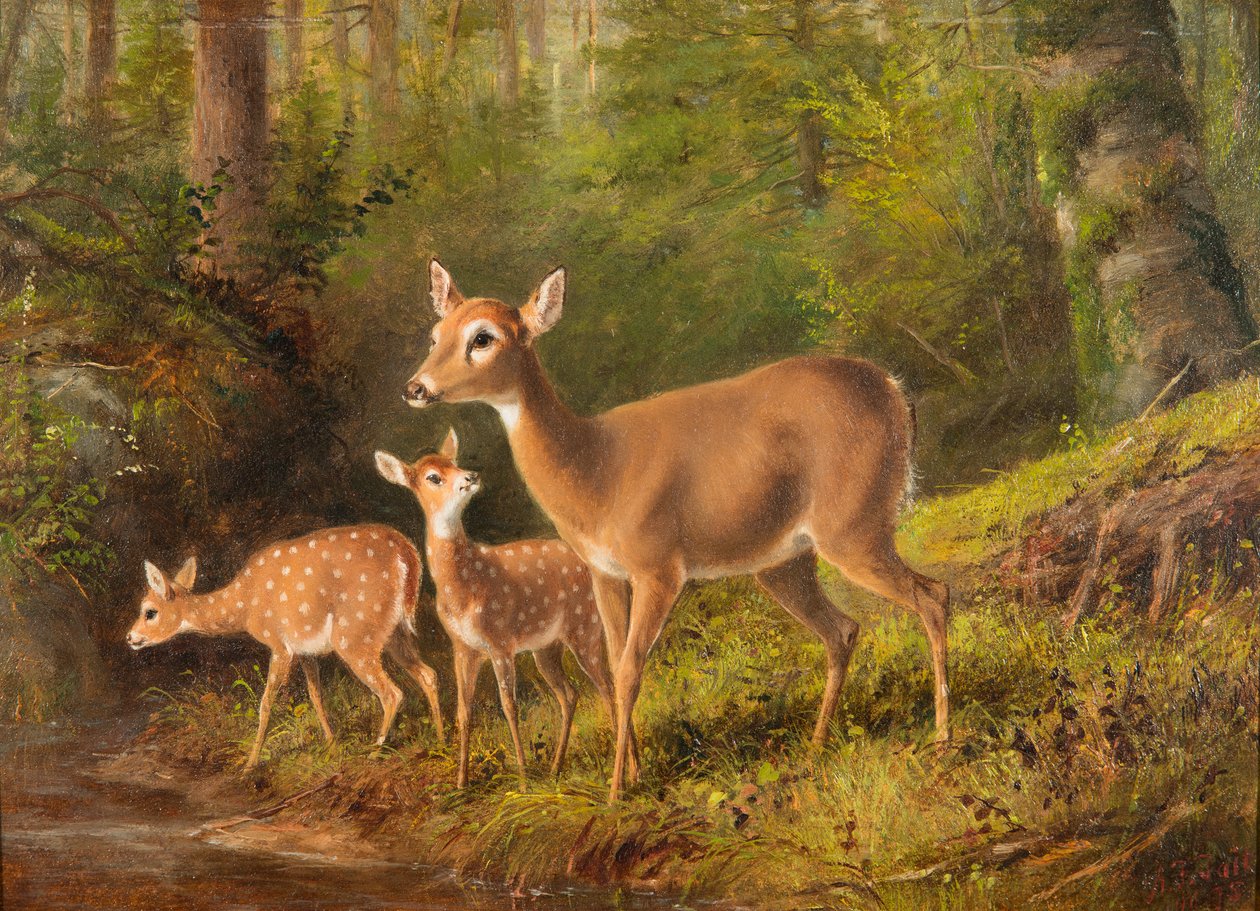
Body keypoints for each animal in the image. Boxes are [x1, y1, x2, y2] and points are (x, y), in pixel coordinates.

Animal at [126, 524, 445, 770]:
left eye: (149, 612)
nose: (130, 637)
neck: (244, 605)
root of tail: (409, 556)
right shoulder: (305, 649)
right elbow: (316, 695)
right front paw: (332, 746)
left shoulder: (279, 644)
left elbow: (266, 702)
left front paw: (250, 763)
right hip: (394, 632)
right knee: (429, 674)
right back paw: (443, 741)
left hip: (355, 634)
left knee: (392, 692)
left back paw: (375, 752)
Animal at [375, 430, 619, 787]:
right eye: (433, 476)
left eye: (455, 462)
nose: (471, 476)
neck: (465, 588)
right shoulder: (462, 647)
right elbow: (464, 710)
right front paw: (461, 782)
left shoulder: (500, 641)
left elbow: (509, 706)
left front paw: (522, 780)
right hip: (546, 647)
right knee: (570, 694)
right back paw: (555, 769)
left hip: (585, 628)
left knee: (608, 688)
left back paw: (624, 771)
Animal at [400, 259, 951, 802]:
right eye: (435, 334)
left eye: (483, 337)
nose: (415, 388)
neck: (595, 471)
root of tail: (896, 392)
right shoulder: (604, 571)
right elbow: (614, 668)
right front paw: (635, 773)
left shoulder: (659, 567)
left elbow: (629, 670)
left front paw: (616, 792)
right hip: (786, 562)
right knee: (844, 629)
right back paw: (818, 745)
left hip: (853, 522)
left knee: (933, 595)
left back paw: (943, 737)